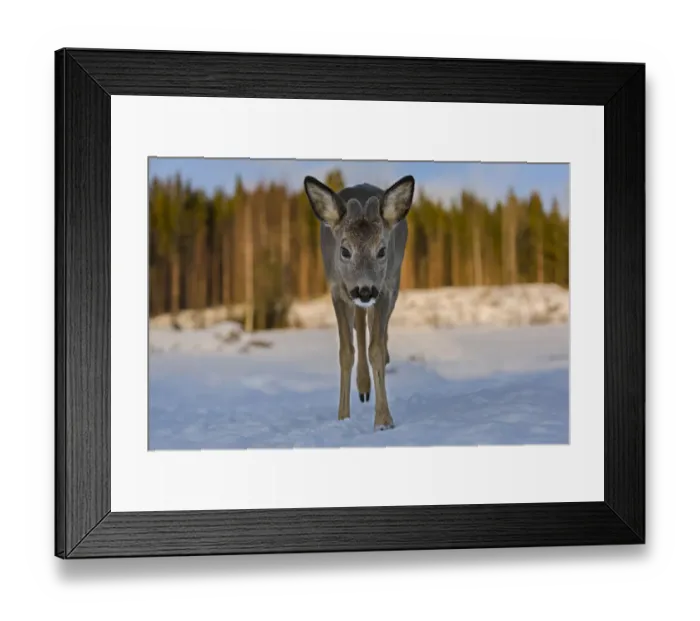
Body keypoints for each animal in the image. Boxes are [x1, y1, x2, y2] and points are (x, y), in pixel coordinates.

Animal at [303, 174, 415, 432]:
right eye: (345, 250)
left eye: (382, 250)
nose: (365, 290)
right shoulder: (337, 290)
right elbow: (346, 352)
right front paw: (343, 416)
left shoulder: (384, 288)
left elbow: (376, 348)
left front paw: (383, 420)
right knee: (361, 324)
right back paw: (363, 387)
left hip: (392, 283)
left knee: (375, 328)